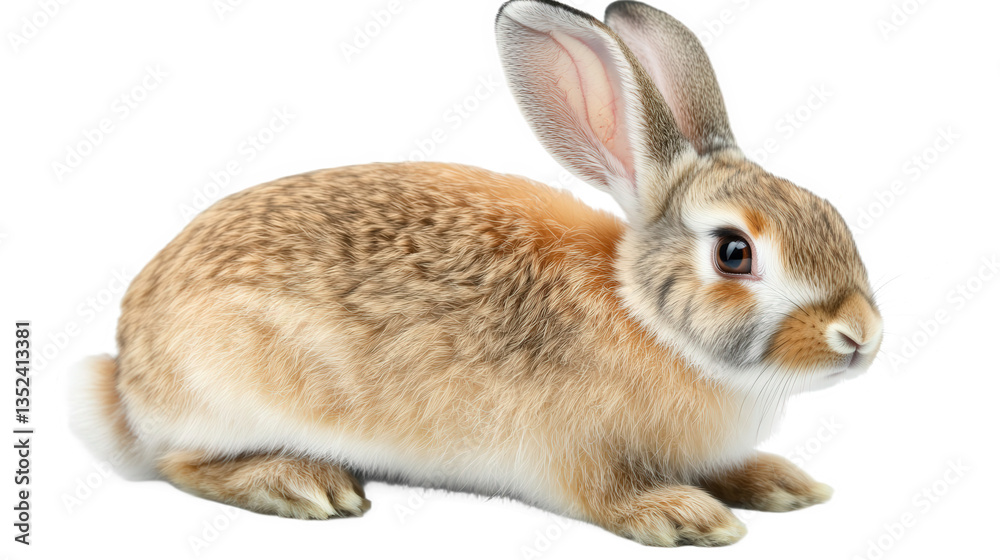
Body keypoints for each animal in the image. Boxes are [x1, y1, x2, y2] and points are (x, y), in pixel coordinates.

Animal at [70, 0, 883, 547]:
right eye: (734, 253)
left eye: (828, 210)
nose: (862, 336)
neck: (646, 316)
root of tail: (126, 376)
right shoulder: (572, 452)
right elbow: (605, 496)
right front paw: (684, 517)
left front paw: (780, 484)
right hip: (227, 390)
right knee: (180, 464)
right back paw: (301, 482)